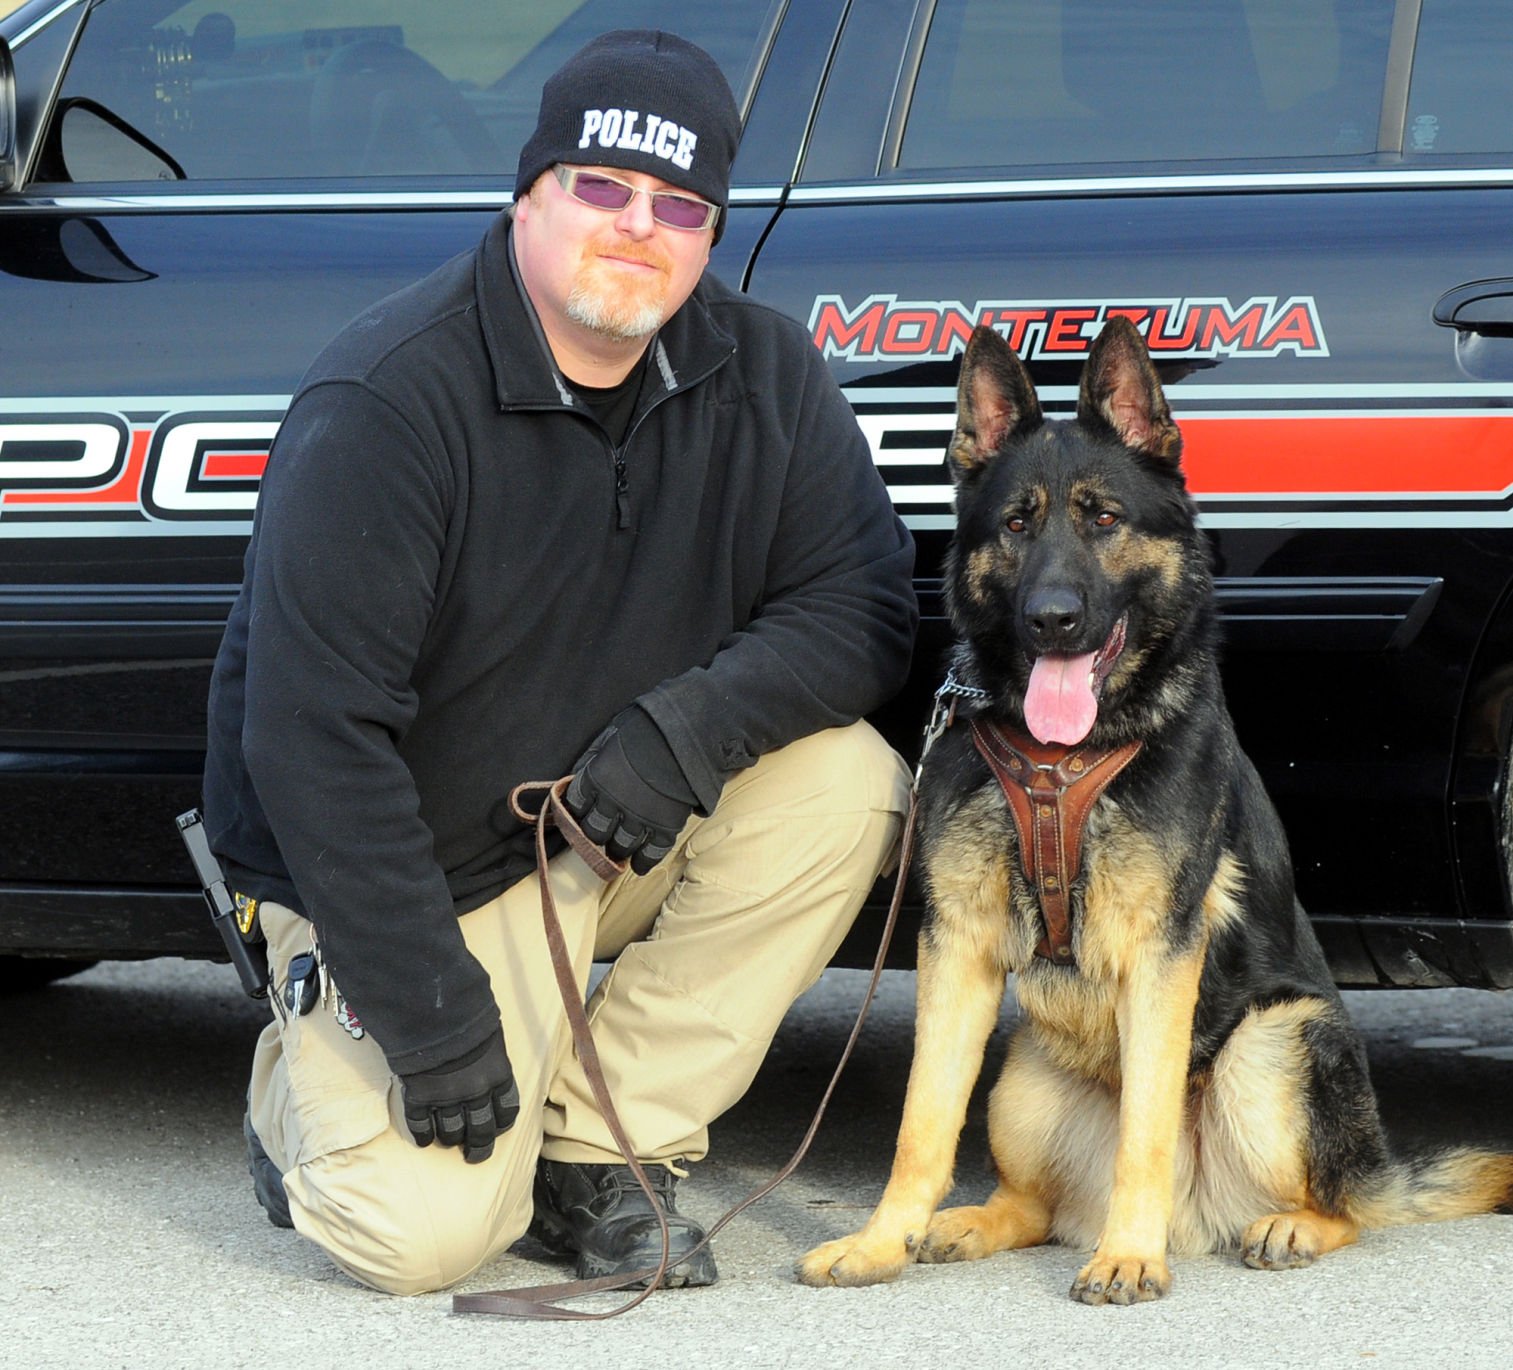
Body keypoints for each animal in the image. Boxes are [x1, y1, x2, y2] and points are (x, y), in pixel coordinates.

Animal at [798, 317, 1506, 1301]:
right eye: (1016, 524)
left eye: (1102, 518)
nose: (1052, 618)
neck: (1061, 759)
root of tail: (1203, 1214)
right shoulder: (958, 948)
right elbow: (921, 1123)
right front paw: (878, 1241)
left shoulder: (1160, 958)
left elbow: (1147, 1125)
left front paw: (1130, 1255)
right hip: (1023, 1076)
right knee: (1035, 1205)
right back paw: (967, 1223)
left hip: (1275, 1043)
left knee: (1347, 1206)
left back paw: (1278, 1226)